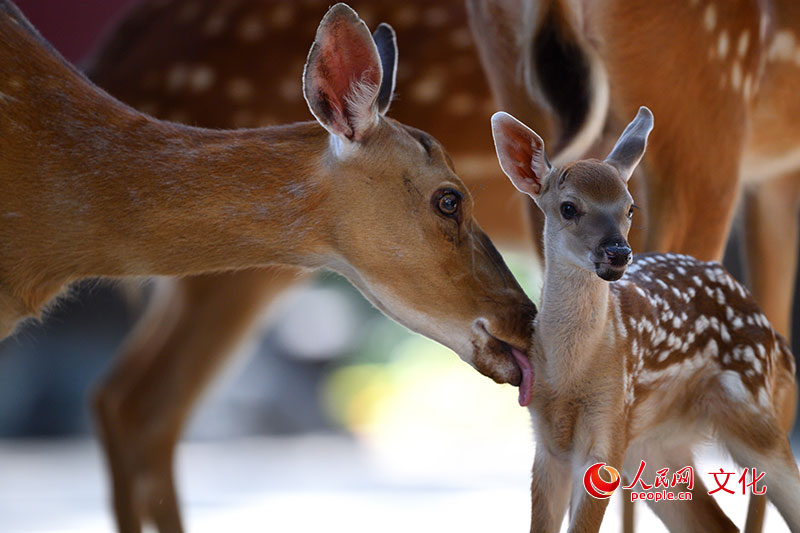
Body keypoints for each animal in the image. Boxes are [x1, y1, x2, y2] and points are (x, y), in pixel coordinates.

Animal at [490, 106, 800, 528]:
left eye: (630, 207)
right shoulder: (548, 443)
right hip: (657, 448)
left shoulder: (609, 425)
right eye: (568, 207)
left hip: (755, 410)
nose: (618, 252)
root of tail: (777, 344)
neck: (573, 375)